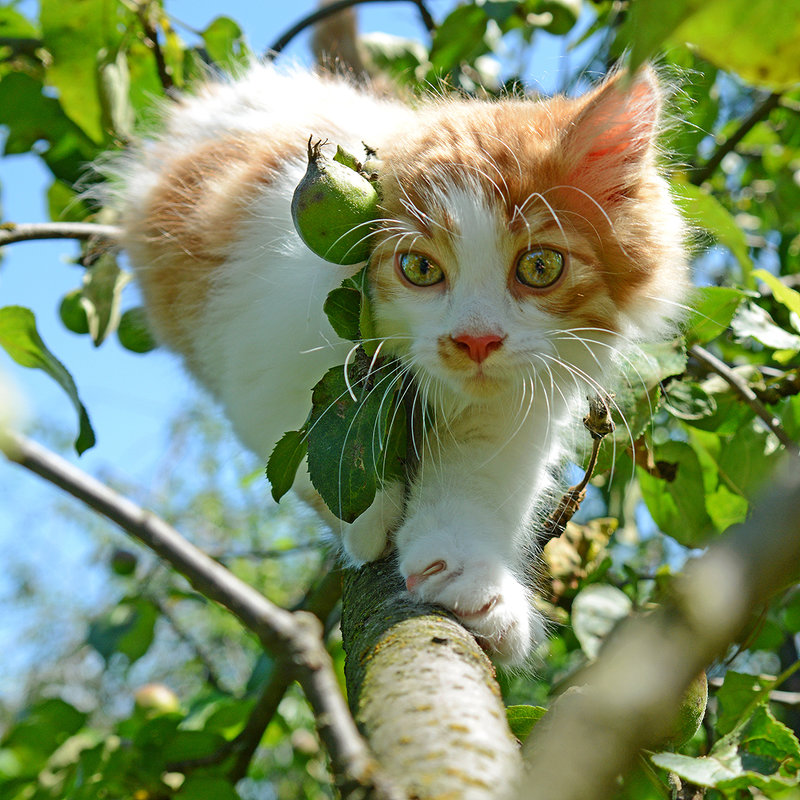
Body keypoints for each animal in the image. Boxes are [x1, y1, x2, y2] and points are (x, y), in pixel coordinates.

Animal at [108, 59, 688, 664]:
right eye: (420, 269)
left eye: (540, 267)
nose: (475, 339)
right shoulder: (259, 354)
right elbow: (313, 441)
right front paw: (369, 517)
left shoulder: (507, 413)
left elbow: (470, 490)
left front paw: (469, 579)